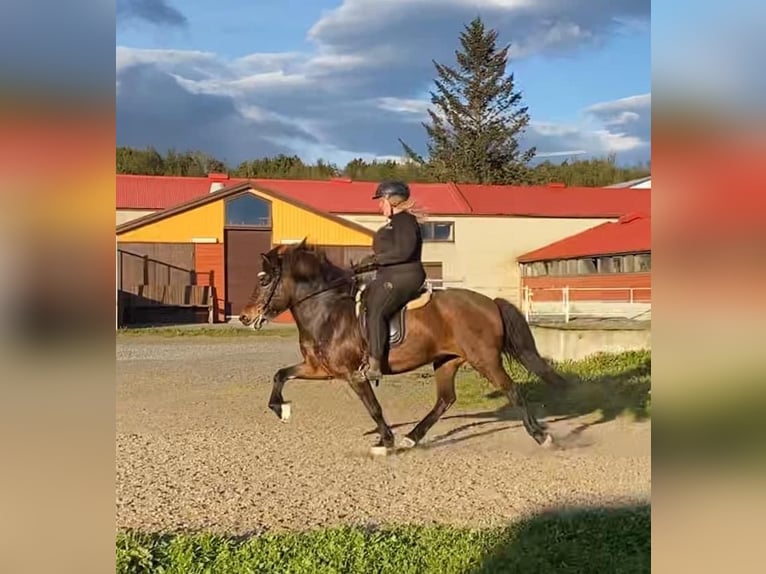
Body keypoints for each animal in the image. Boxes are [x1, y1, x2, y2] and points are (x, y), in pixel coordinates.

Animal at [240, 238, 568, 454]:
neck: (327, 310)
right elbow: (280, 375)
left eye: (266, 280)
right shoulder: (319, 369)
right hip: (446, 360)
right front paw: (281, 409)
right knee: (445, 399)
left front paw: (385, 441)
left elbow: (373, 407)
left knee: (512, 390)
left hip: (485, 360)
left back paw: (541, 437)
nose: (245, 317)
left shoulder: (353, 375)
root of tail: (490, 303)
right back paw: (412, 437)